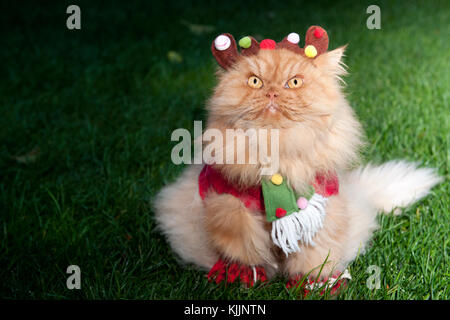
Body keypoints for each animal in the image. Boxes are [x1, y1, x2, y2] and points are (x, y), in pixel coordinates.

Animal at [153, 26, 442, 292]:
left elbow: (314, 257)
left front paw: (314, 284)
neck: (277, 147)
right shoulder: (231, 206)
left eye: (293, 83)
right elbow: (244, 249)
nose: (272, 93)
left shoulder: (320, 207)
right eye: (255, 82)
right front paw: (247, 276)